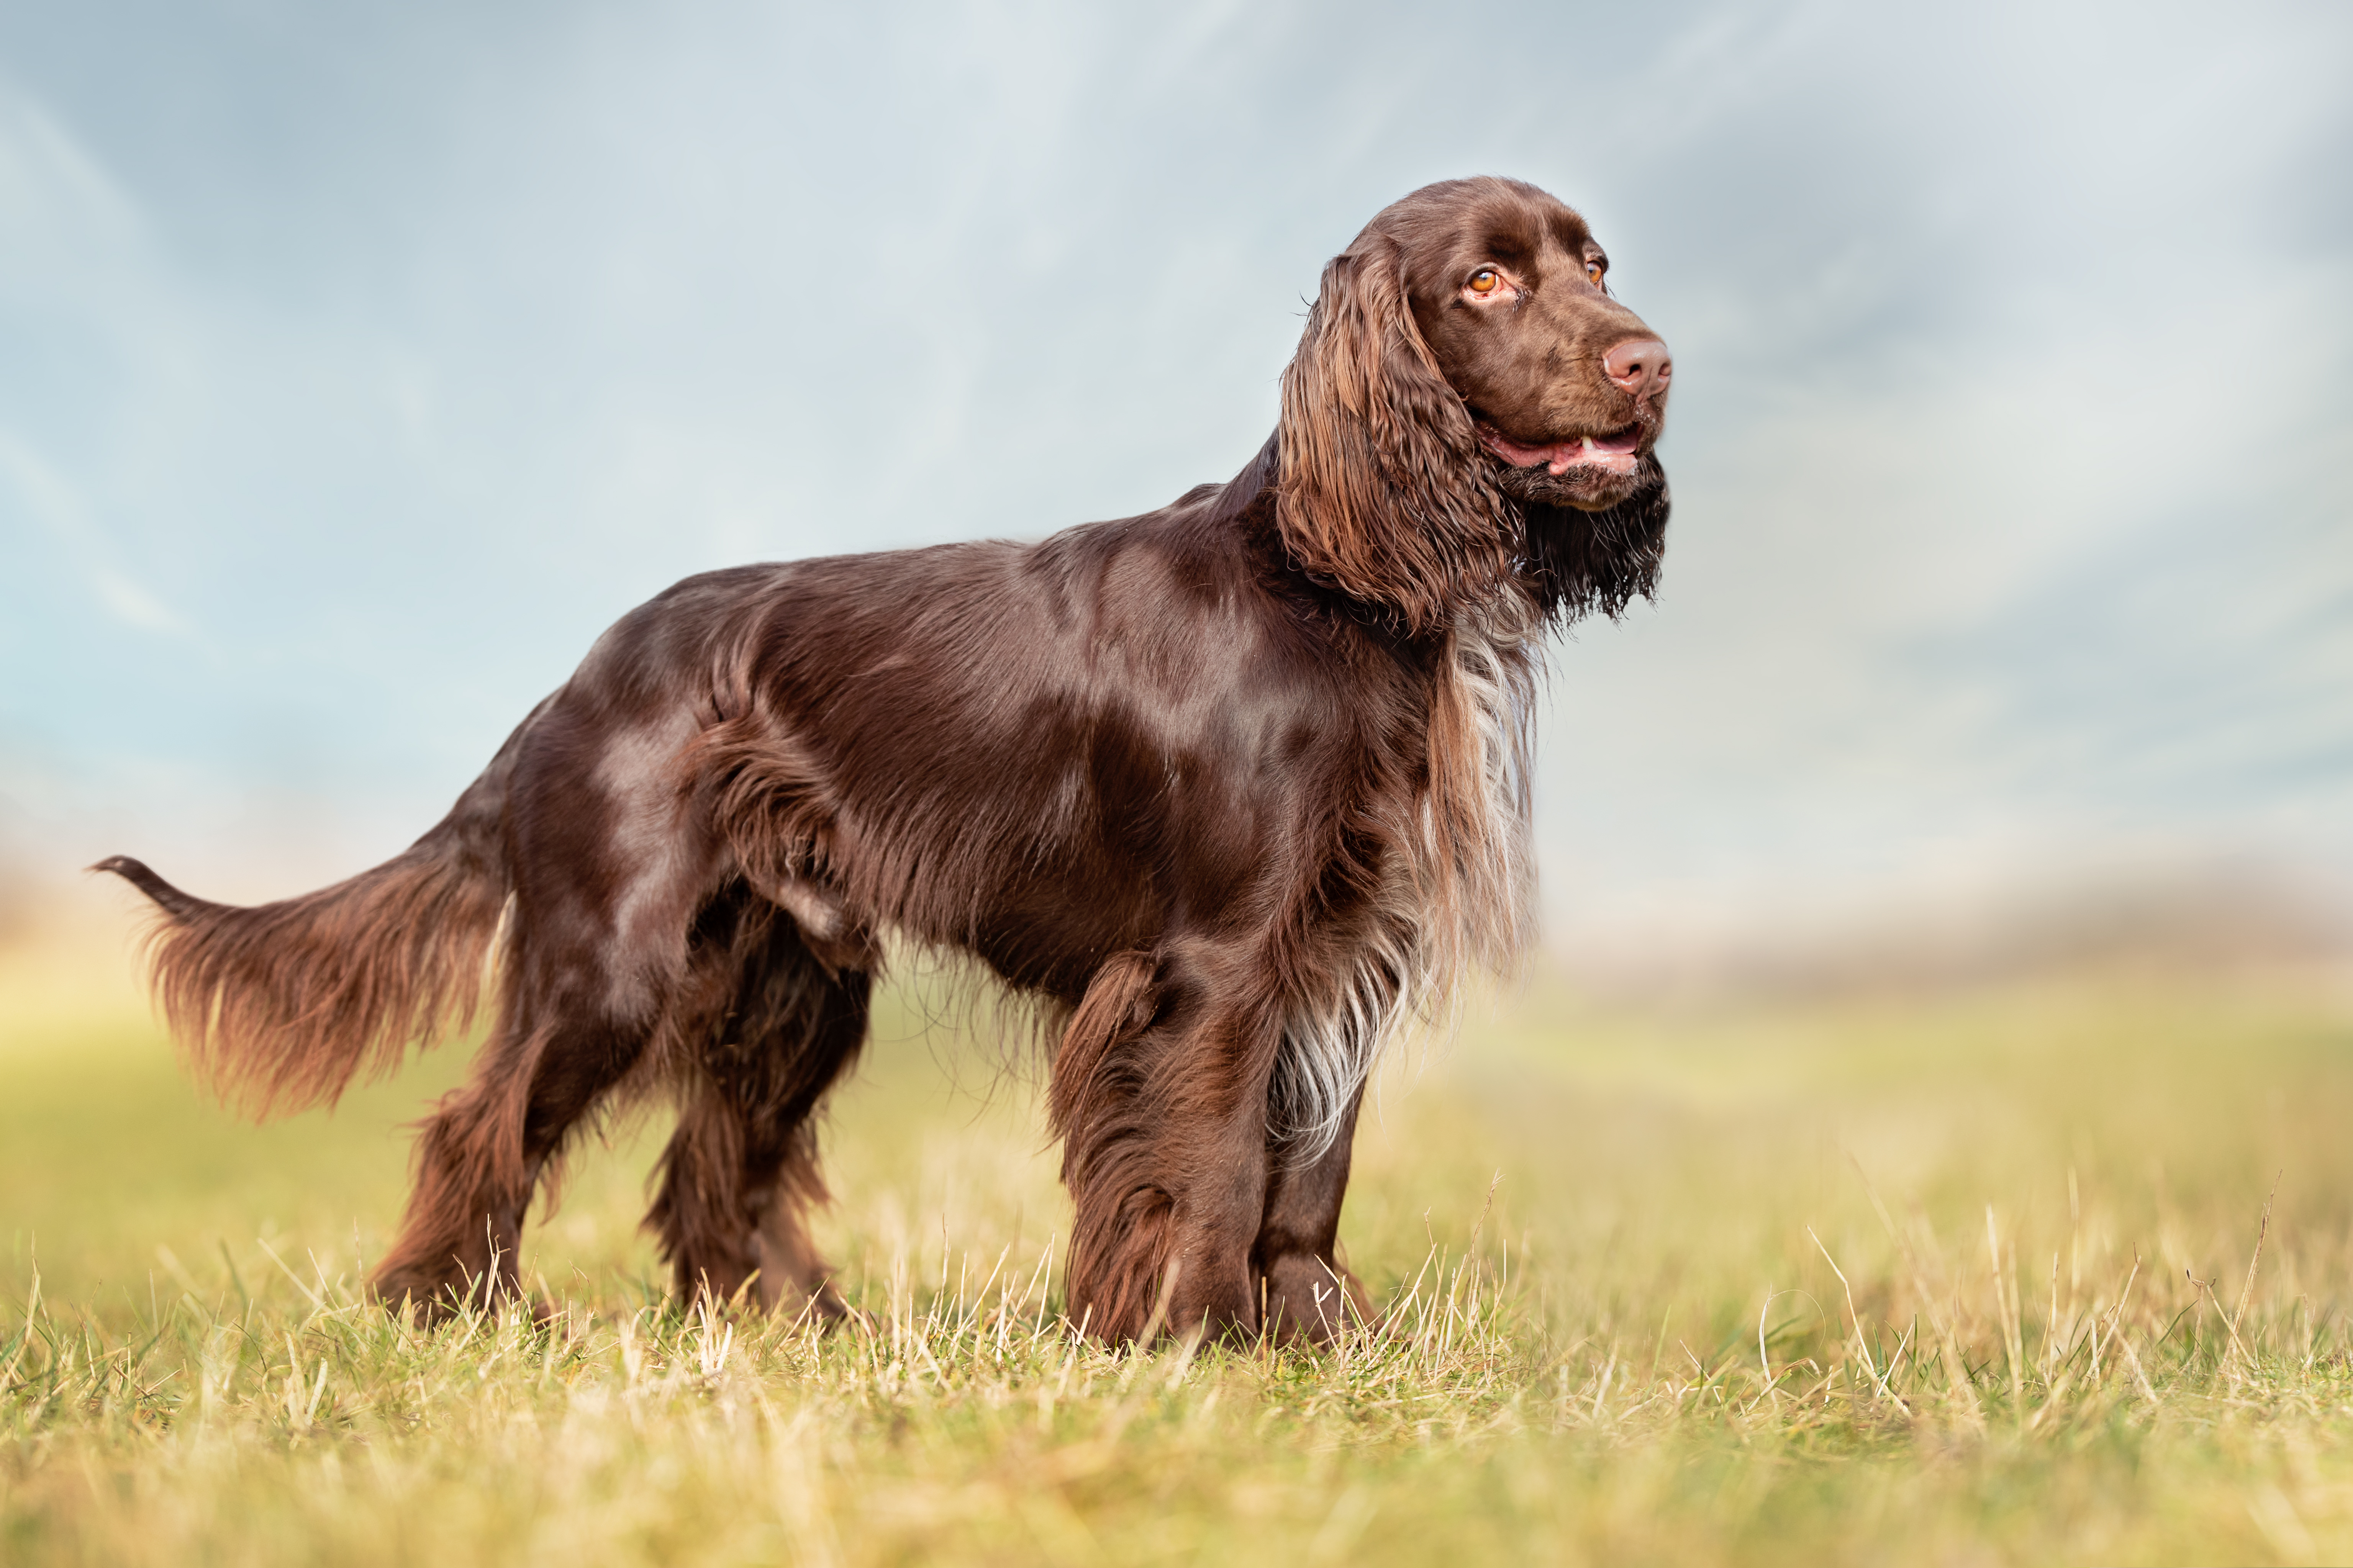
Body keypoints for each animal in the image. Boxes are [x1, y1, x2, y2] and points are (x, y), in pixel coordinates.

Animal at [101, 177, 1666, 1344]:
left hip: (789, 977)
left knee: (711, 1164)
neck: (1341, 580)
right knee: (480, 1121)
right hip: (614, 957)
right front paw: (1200, 1340)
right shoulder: (1217, 962)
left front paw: (1315, 1340)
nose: (1650, 360)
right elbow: (1215, 1157)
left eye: (1595, 260)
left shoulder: (1343, 944)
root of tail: (572, 683)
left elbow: (1309, 1173)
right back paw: (458, 1309)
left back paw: (792, 1324)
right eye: (1486, 283)